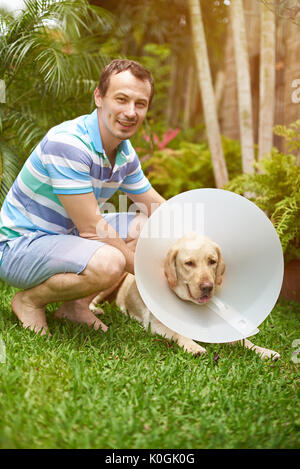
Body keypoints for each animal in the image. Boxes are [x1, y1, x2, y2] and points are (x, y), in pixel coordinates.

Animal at [88, 233, 278, 358]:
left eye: (212, 261)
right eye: (189, 263)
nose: (208, 287)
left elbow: (245, 341)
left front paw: (264, 351)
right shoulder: (155, 325)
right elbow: (179, 333)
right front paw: (194, 347)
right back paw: (94, 311)